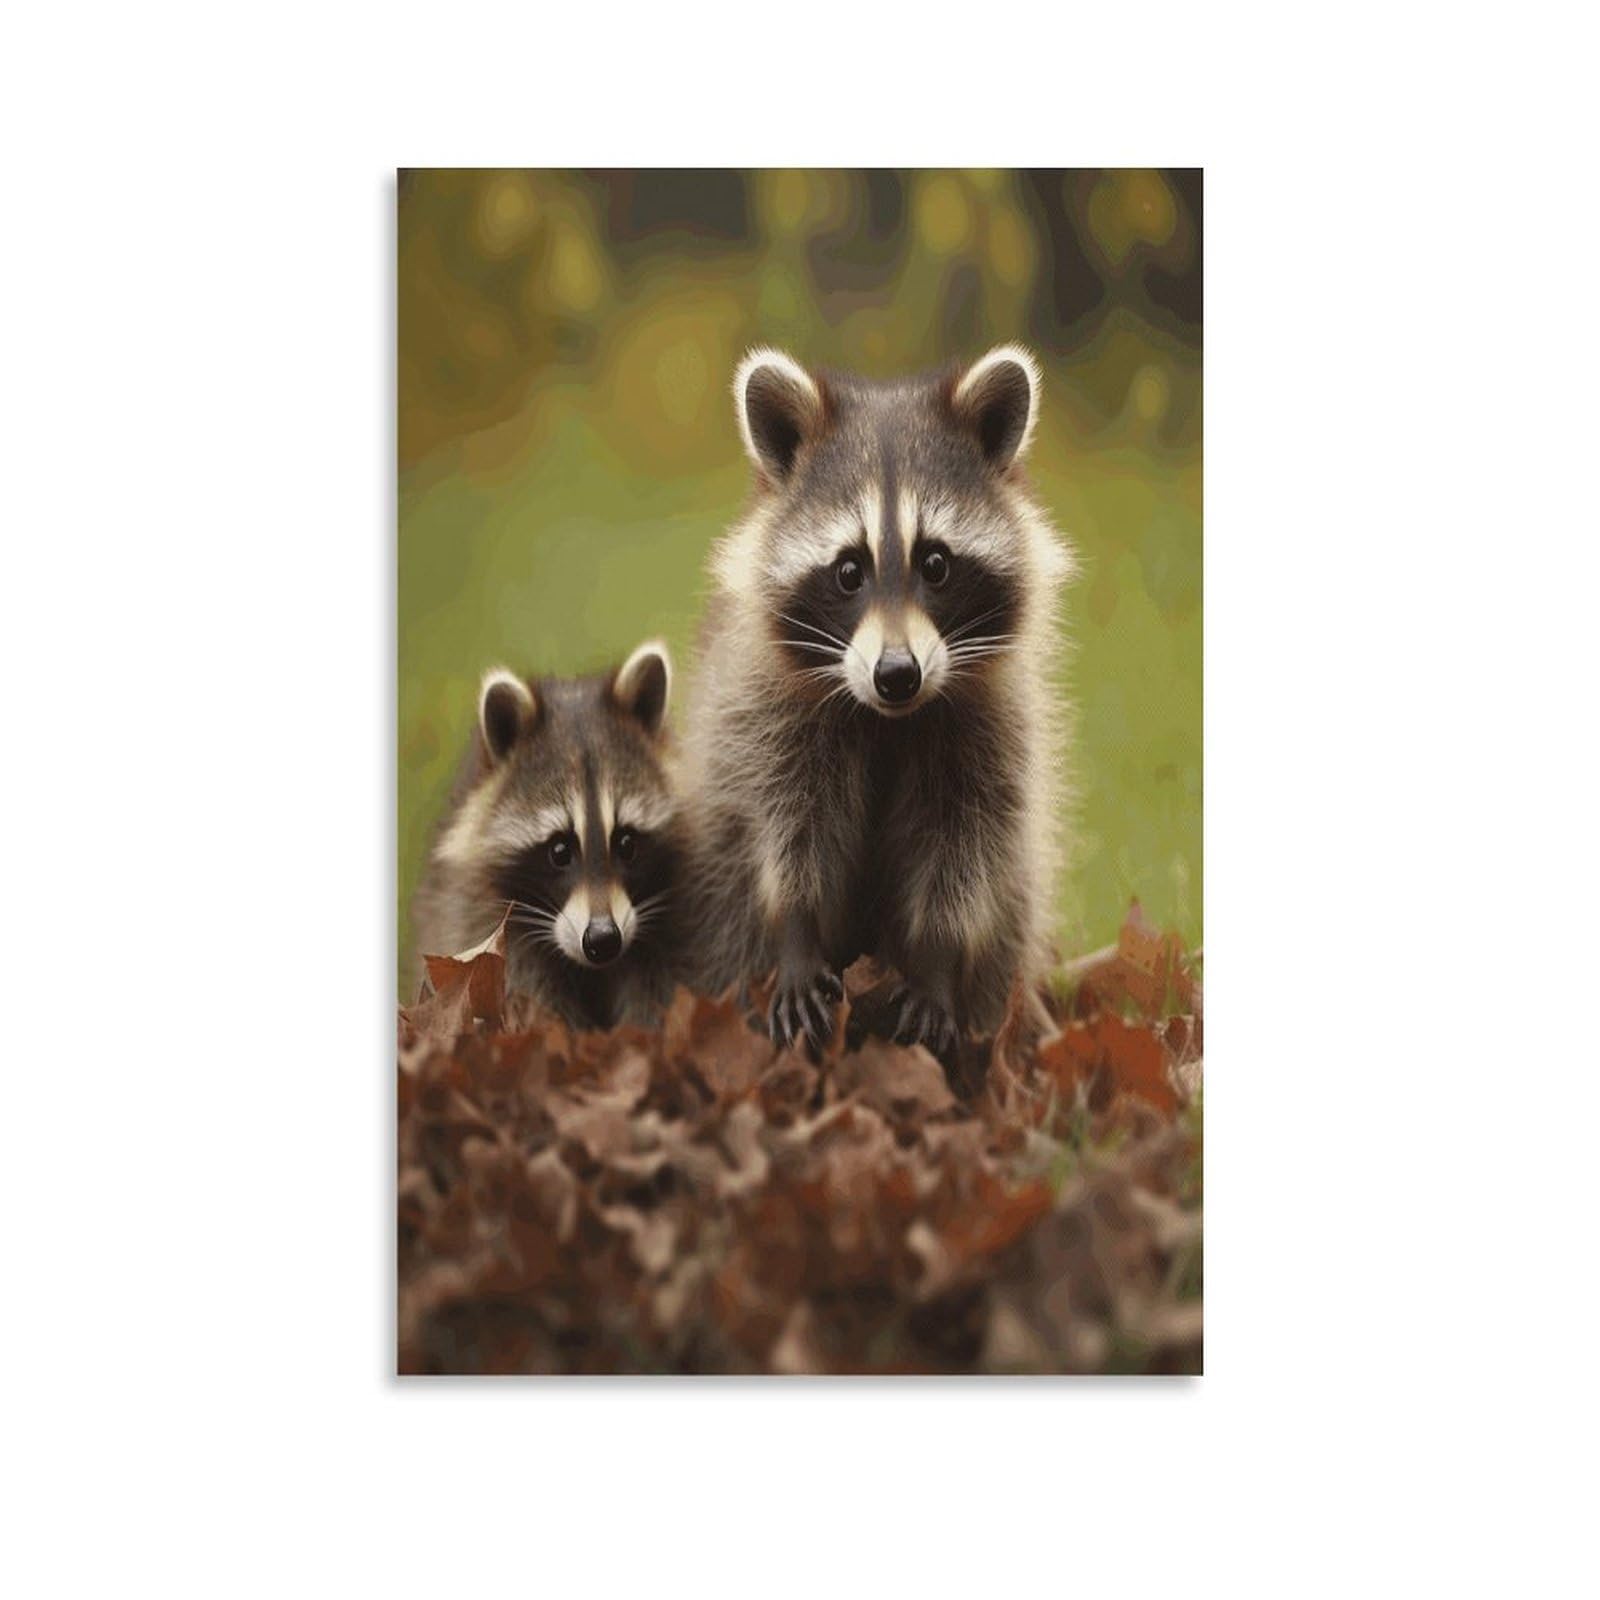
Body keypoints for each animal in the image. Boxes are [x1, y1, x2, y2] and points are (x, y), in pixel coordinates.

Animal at [682, 345, 1074, 1060]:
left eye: (937, 564)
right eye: (847, 571)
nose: (897, 675)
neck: (889, 719)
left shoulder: (990, 726)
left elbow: (964, 847)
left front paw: (938, 961)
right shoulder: (765, 714)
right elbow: (788, 828)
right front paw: (796, 931)